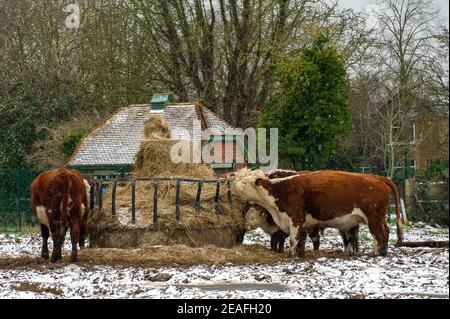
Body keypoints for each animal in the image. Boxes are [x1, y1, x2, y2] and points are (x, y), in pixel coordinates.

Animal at [234, 169, 402, 258]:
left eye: (244, 183)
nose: (233, 188)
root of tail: (378, 178)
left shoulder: (296, 219)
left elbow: (293, 240)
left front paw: (291, 255)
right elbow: (301, 240)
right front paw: (300, 254)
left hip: (374, 217)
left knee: (380, 234)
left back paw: (379, 254)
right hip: (377, 218)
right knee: (382, 233)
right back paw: (380, 252)